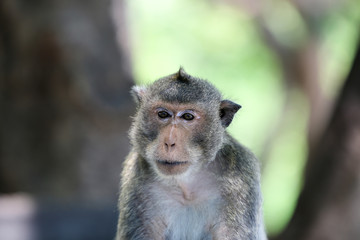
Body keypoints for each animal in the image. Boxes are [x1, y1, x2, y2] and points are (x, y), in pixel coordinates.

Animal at [116, 68, 268, 240]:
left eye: (187, 117)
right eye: (163, 114)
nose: (169, 142)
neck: (187, 185)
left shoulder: (240, 178)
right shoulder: (136, 178)